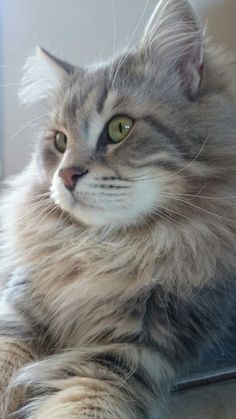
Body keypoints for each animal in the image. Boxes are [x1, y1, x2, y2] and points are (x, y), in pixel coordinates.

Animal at [0, 0, 236, 418]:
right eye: (60, 142)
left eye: (120, 128)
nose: (66, 175)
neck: (105, 251)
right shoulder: (18, 312)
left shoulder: (126, 355)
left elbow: (82, 404)